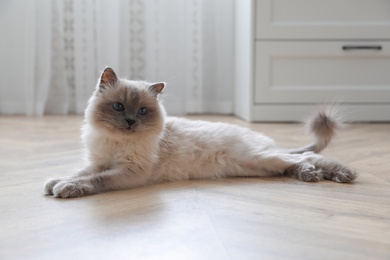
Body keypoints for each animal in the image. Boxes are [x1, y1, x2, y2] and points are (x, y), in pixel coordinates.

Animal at [44, 67, 358, 199]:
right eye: (119, 107)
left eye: (143, 111)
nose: (131, 122)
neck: (118, 142)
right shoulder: (100, 162)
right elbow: (78, 172)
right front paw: (55, 183)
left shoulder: (128, 172)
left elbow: (94, 180)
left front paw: (66, 189)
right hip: (259, 166)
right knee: (298, 163)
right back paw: (316, 176)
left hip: (259, 159)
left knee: (307, 159)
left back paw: (342, 174)